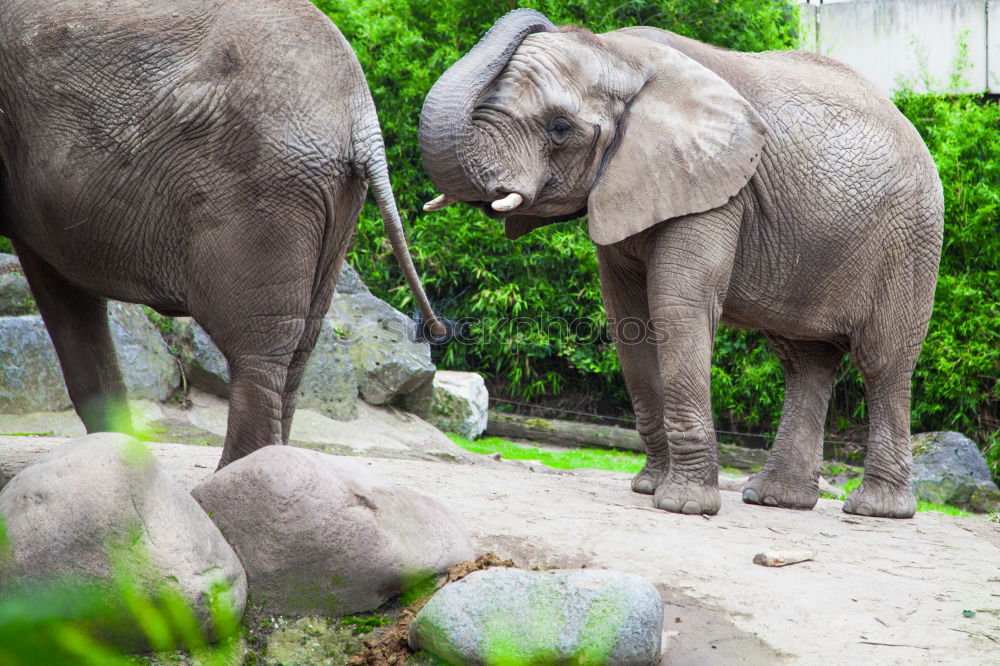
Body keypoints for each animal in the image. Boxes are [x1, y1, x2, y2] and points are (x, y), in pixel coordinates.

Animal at [0, 0, 446, 464]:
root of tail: (360, 116)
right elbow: (66, 290)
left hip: (260, 187)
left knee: (258, 348)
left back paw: (240, 475)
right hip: (334, 198)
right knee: (301, 346)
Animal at [420, 11, 944, 520]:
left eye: (560, 127)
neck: (622, 56)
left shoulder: (716, 185)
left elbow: (678, 304)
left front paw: (684, 506)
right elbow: (629, 319)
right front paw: (649, 487)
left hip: (911, 237)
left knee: (882, 360)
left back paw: (876, 509)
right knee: (803, 360)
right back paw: (776, 499)